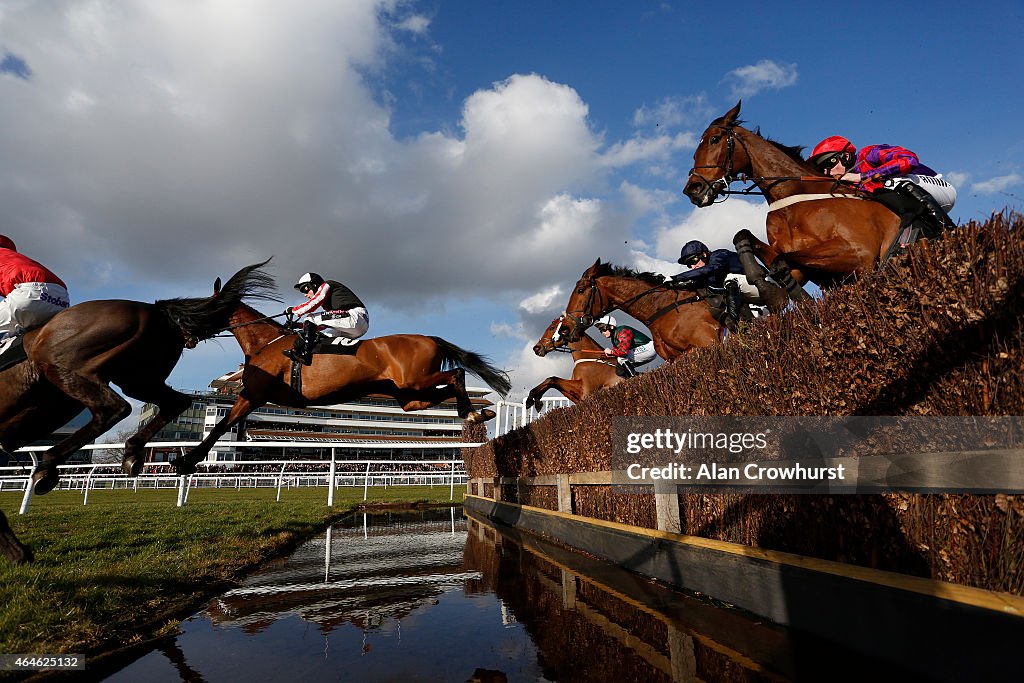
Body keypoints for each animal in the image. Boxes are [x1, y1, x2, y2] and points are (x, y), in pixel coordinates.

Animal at [0, 259, 278, 565]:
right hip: (136, 377)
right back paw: (132, 454)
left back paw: (48, 467)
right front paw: (19, 553)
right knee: (174, 403)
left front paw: (18, 553)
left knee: (116, 407)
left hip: (66, 366)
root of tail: (155, 311)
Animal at [176, 301, 516, 473]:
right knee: (445, 387)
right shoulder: (253, 396)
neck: (267, 343)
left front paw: (185, 460)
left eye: (200, 310)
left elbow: (222, 426)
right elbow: (225, 425)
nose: (184, 334)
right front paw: (186, 458)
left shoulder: (253, 394)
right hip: (409, 396)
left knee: (457, 372)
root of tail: (430, 338)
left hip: (415, 381)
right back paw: (476, 414)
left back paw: (471, 413)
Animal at [684, 100, 909, 301]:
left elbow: (779, 263)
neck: (793, 202)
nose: (692, 189)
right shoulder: (802, 268)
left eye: (715, 139)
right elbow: (745, 237)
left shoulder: (860, 253)